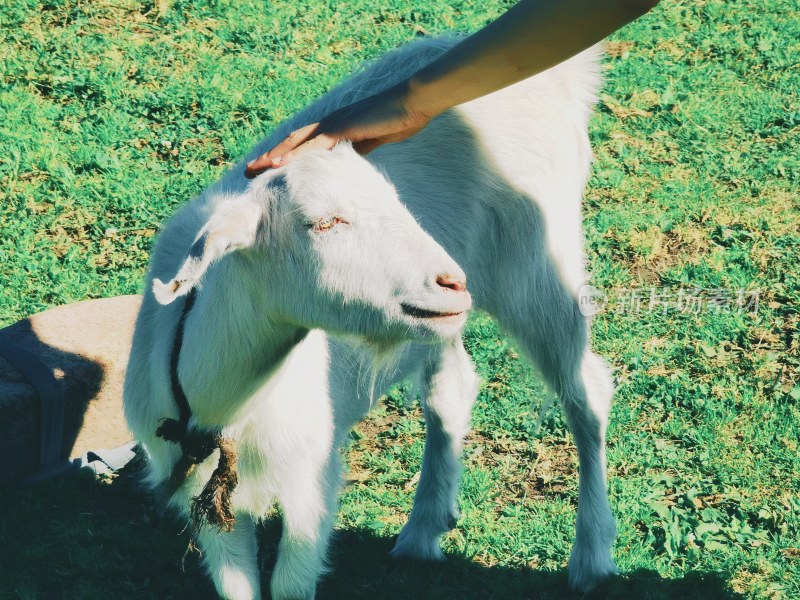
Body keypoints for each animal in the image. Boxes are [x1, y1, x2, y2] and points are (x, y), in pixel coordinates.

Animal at [123, 37, 612, 600]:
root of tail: (562, 77)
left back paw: (592, 556)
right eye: (323, 222)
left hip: (540, 259)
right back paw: (423, 529)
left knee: (586, 391)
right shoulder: (206, 500)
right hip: (438, 322)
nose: (451, 281)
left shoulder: (311, 481)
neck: (227, 405)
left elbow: (291, 584)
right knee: (452, 387)